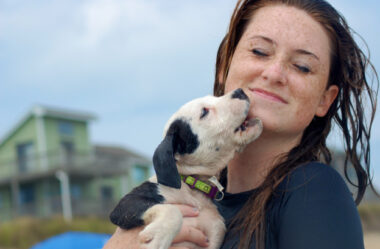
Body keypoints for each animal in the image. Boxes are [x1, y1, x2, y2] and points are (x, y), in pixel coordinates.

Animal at [109, 89, 262, 249]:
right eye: (204, 112)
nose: (240, 91)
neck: (192, 187)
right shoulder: (125, 205)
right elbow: (173, 210)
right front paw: (159, 238)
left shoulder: (214, 234)